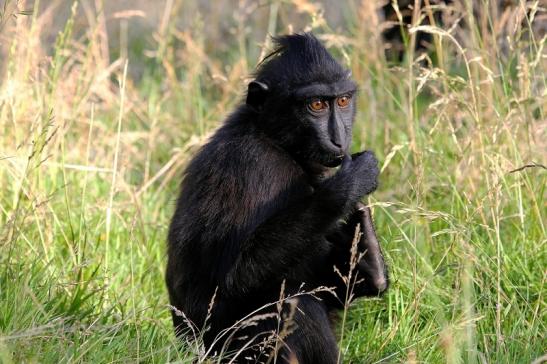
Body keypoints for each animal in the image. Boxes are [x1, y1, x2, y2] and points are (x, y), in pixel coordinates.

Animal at [167, 32, 390, 362]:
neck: (274, 139)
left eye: (343, 100)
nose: (339, 139)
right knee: (292, 301)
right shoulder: (255, 166)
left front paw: (368, 255)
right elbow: (240, 275)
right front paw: (349, 186)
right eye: (316, 104)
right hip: (227, 350)